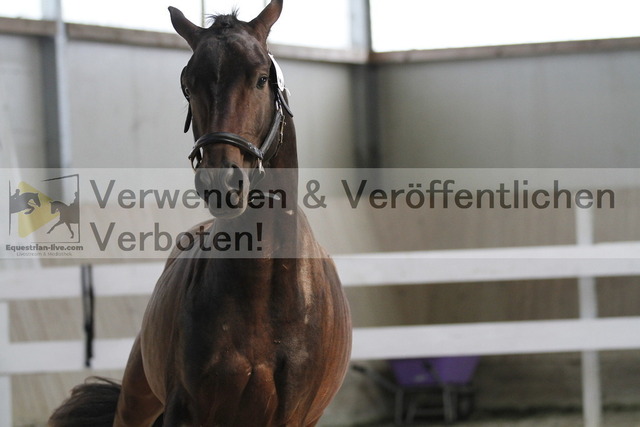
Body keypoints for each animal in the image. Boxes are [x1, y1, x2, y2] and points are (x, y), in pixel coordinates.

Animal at [49, 1, 352, 426]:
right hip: (137, 400)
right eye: (189, 85)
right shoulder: (186, 409)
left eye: (261, 79)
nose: (220, 182)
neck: (261, 287)